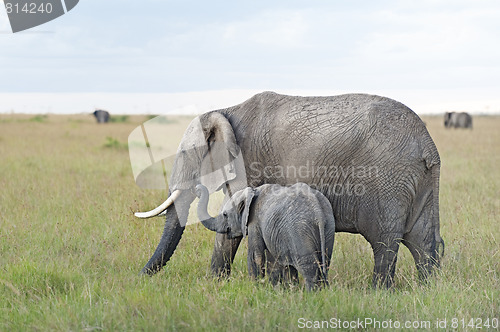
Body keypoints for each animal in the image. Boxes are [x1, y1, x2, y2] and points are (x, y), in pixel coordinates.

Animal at [195, 182, 336, 290]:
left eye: (225, 214)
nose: (197, 189)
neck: (252, 191)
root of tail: (318, 212)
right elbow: (273, 259)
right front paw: (280, 290)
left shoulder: (254, 221)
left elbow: (255, 255)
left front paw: (255, 288)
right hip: (328, 228)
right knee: (324, 262)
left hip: (300, 230)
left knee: (309, 267)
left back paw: (312, 294)